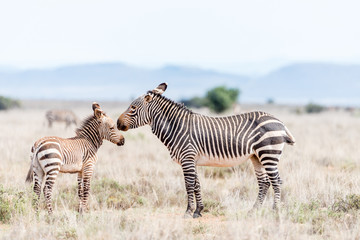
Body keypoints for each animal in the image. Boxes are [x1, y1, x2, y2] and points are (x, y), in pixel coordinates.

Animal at [118, 83, 296, 218]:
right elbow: (197, 184)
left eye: (133, 107)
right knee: (264, 182)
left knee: (276, 181)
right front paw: (198, 211)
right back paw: (254, 210)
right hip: (256, 157)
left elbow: (189, 184)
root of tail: (280, 121)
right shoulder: (192, 160)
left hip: (268, 153)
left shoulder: (187, 158)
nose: (118, 124)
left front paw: (188, 211)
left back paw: (275, 211)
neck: (176, 127)